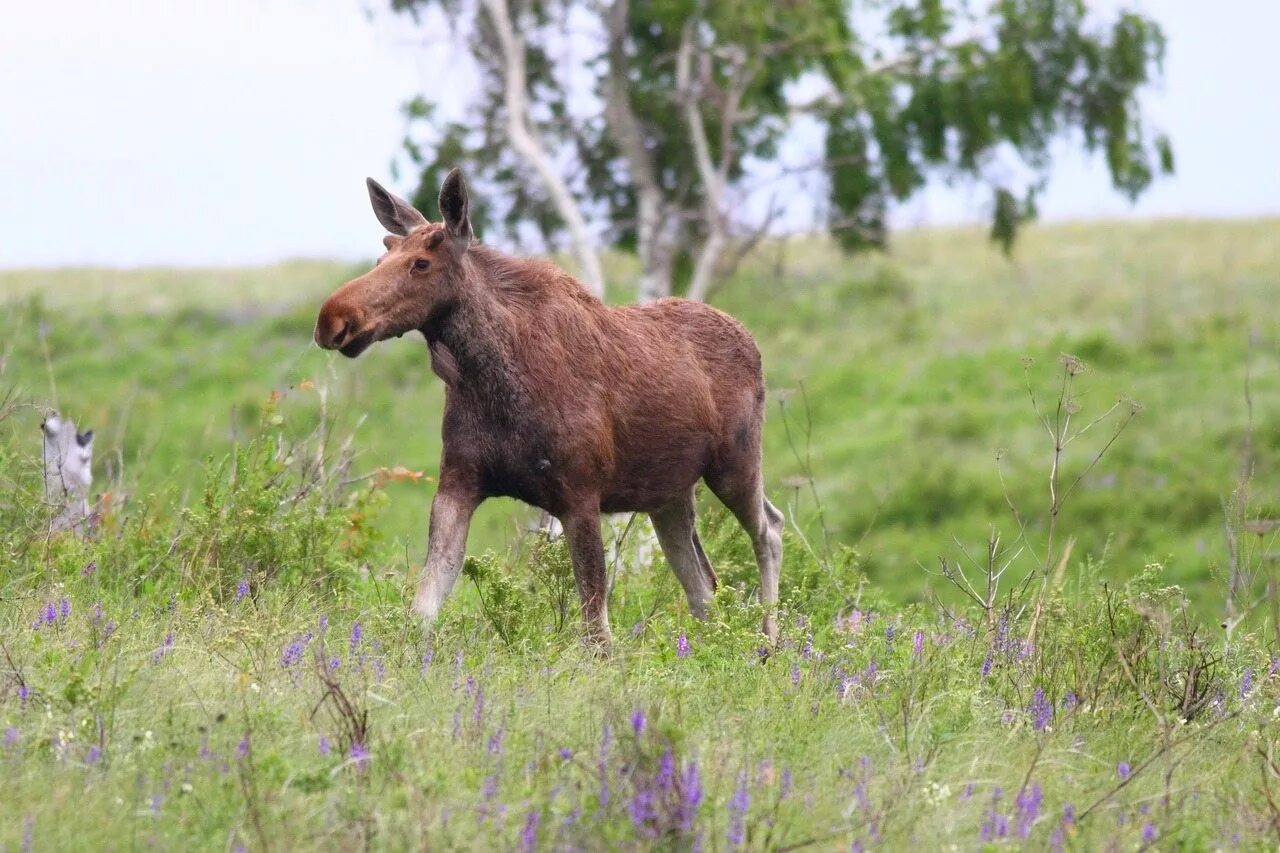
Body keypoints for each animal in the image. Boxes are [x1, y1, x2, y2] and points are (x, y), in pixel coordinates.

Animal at [314, 169, 783, 640]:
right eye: (381, 257)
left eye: (421, 264)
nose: (332, 319)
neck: (489, 380)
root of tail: (750, 339)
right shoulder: (458, 483)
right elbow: (423, 606)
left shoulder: (580, 494)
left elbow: (597, 630)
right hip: (667, 492)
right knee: (703, 586)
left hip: (734, 463)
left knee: (769, 530)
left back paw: (770, 635)